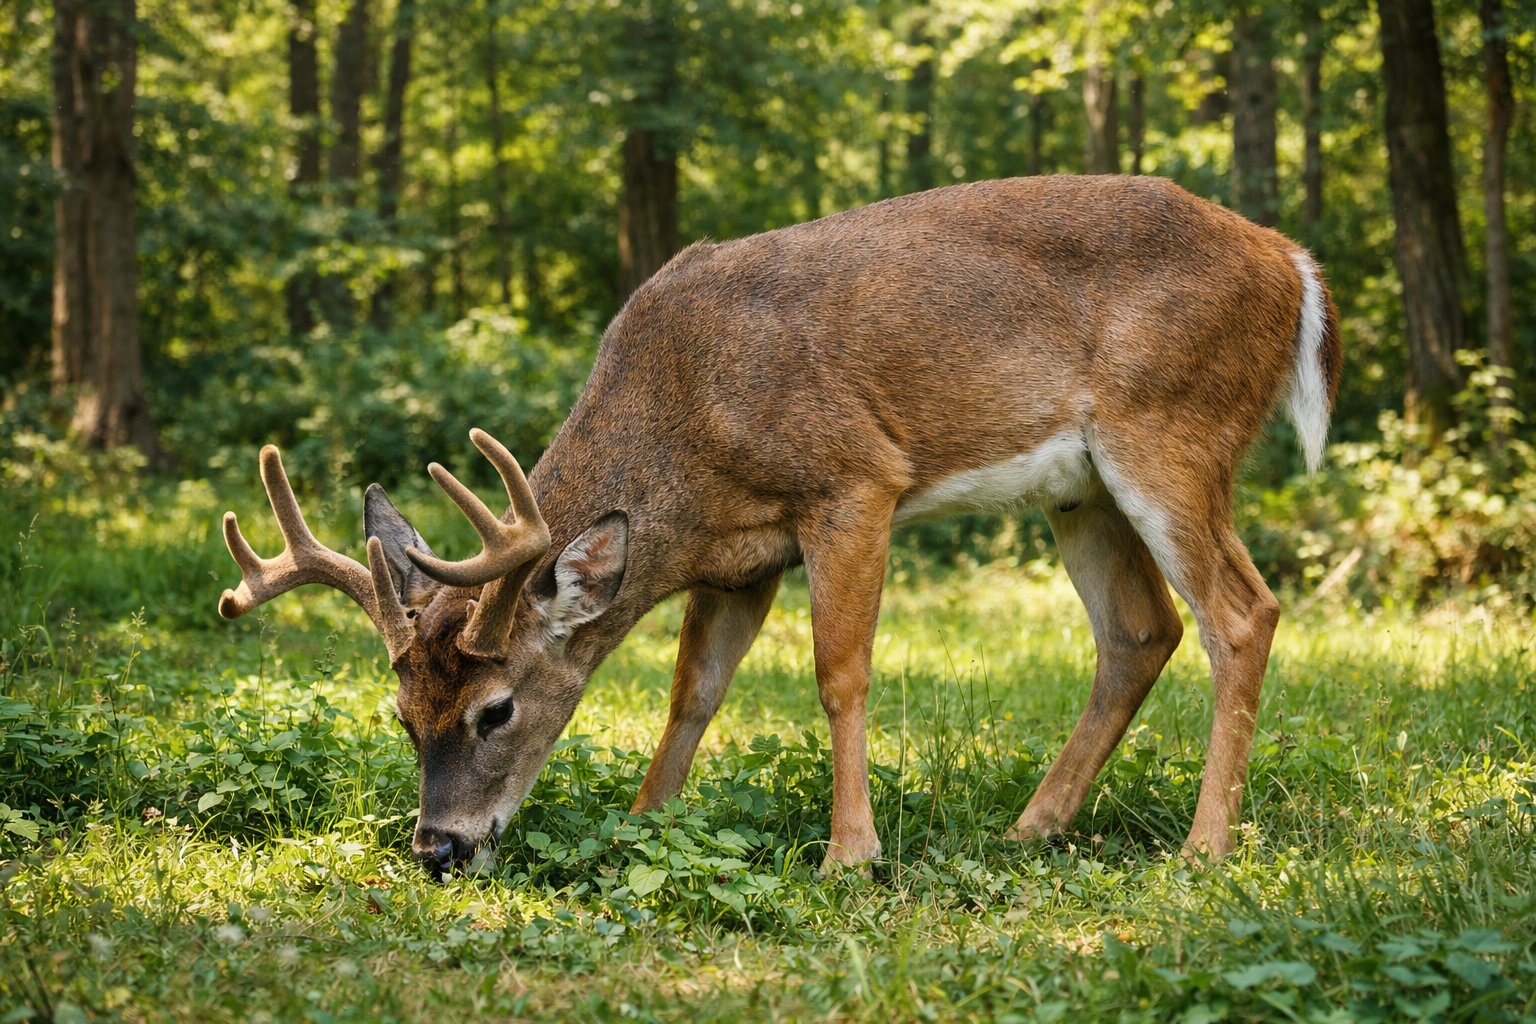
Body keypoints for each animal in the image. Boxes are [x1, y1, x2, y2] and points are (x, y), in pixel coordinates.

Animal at [219, 175, 1340, 878]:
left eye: (495, 710)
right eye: (403, 715)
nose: (439, 848)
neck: (688, 427)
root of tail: (1291, 261)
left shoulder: (852, 479)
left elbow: (838, 671)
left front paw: (853, 854)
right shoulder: (736, 558)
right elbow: (693, 694)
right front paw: (644, 824)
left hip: (1172, 427)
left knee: (1243, 612)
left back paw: (1203, 847)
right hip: (1081, 490)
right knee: (1141, 631)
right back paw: (1031, 827)